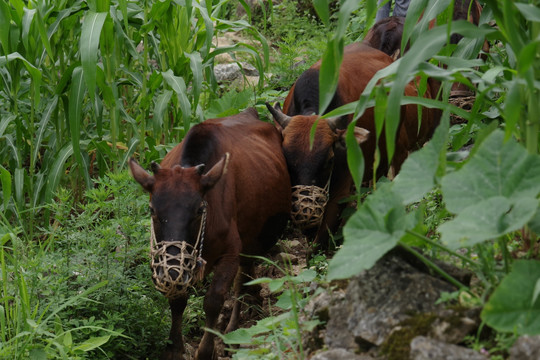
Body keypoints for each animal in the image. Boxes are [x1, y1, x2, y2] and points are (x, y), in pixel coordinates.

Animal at [129, 107, 292, 360]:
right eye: (152, 209)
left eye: (199, 209)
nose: (171, 270)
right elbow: (178, 300)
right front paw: (175, 349)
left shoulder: (231, 253)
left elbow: (214, 301)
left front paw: (207, 350)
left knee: (241, 282)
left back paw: (233, 332)